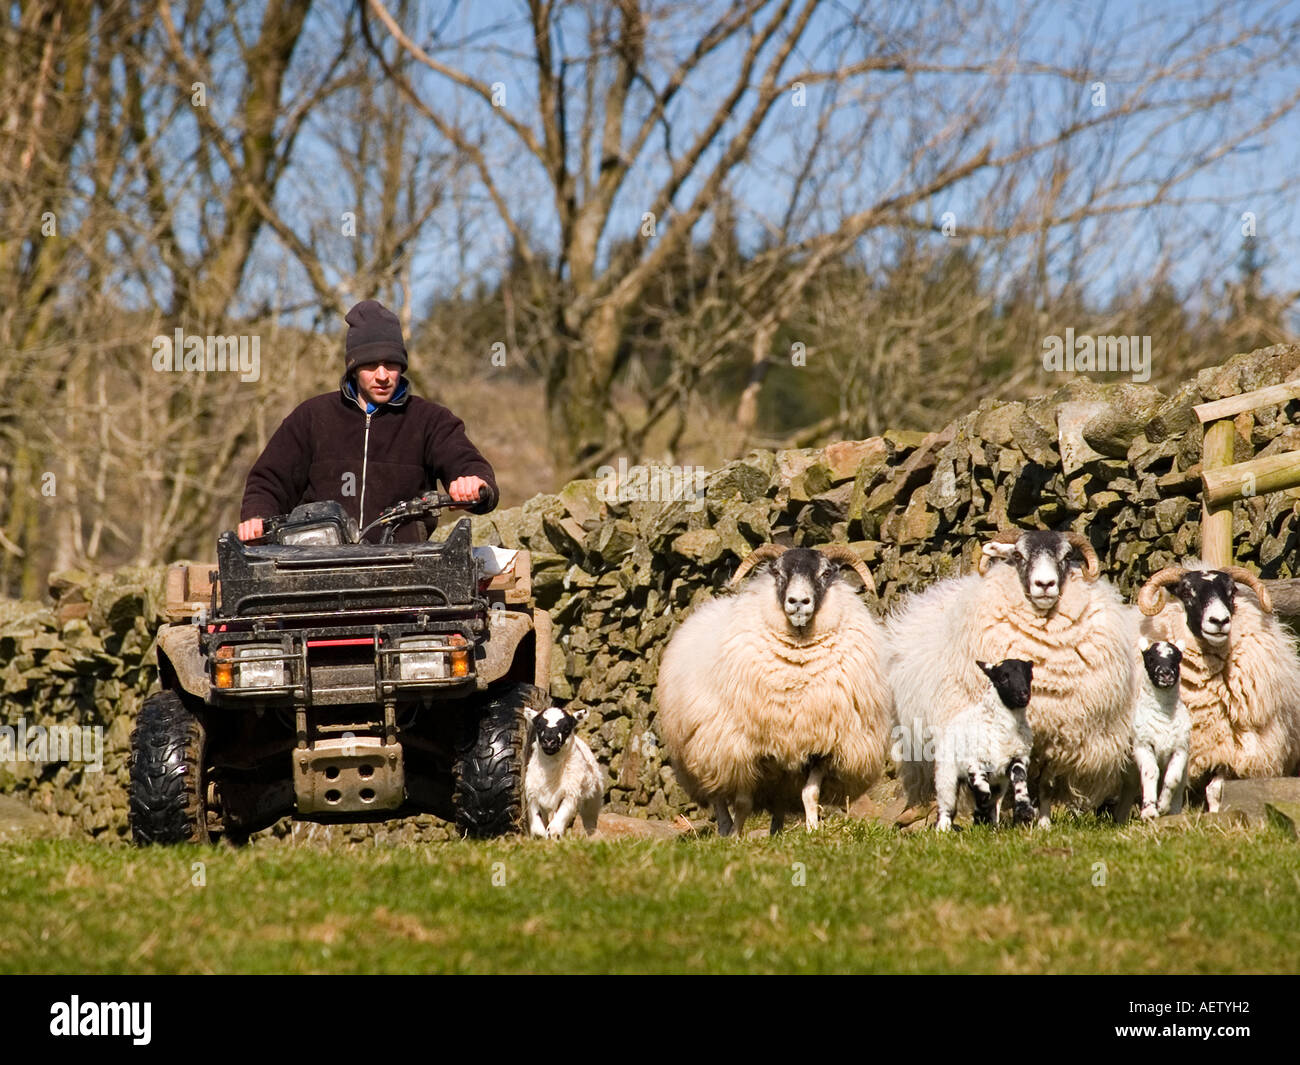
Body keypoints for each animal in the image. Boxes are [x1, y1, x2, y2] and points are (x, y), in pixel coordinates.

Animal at [523, 705, 603, 838]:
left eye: (566, 727)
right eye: (538, 726)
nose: (549, 741)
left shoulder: (569, 794)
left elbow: (555, 826)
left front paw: (554, 836)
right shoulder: (533, 795)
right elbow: (538, 829)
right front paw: (540, 837)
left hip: (592, 801)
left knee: (590, 822)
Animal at [654, 543, 893, 838]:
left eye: (826, 573)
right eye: (777, 571)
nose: (798, 602)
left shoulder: (822, 746)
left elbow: (810, 794)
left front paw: (813, 830)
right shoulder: (745, 748)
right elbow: (742, 802)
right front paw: (736, 837)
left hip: (778, 774)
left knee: (777, 800)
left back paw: (776, 833)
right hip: (708, 748)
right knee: (717, 794)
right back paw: (725, 829)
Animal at [934, 659, 1036, 831]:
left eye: (1029, 675)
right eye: (1003, 678)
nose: (1024, 694)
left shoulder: (1019, 756)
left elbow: (1019, 778)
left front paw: (1024, 810)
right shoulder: (975, 760)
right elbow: (979, 784)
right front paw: (982, 797)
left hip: (999, 785)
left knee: (993, 805)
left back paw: (990, 825)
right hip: (946, 774)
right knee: (946, 805)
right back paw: (943, 829)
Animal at [1114, 638, 1190, 821]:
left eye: (1176, 658)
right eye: (1150, 659)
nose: (1165, 673)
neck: (1164, 714)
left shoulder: (1181, 748)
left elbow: (1173, 778)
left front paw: (1162, 806)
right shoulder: (1143, 744)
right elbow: (1150, 772)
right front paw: (1149, 811)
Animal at [1136, 563, 1300, 811]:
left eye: (1231, 592)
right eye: (1187, 592)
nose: (1220, 621)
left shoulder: (1232, 749)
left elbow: (1215, 790)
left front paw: (1213, 814)